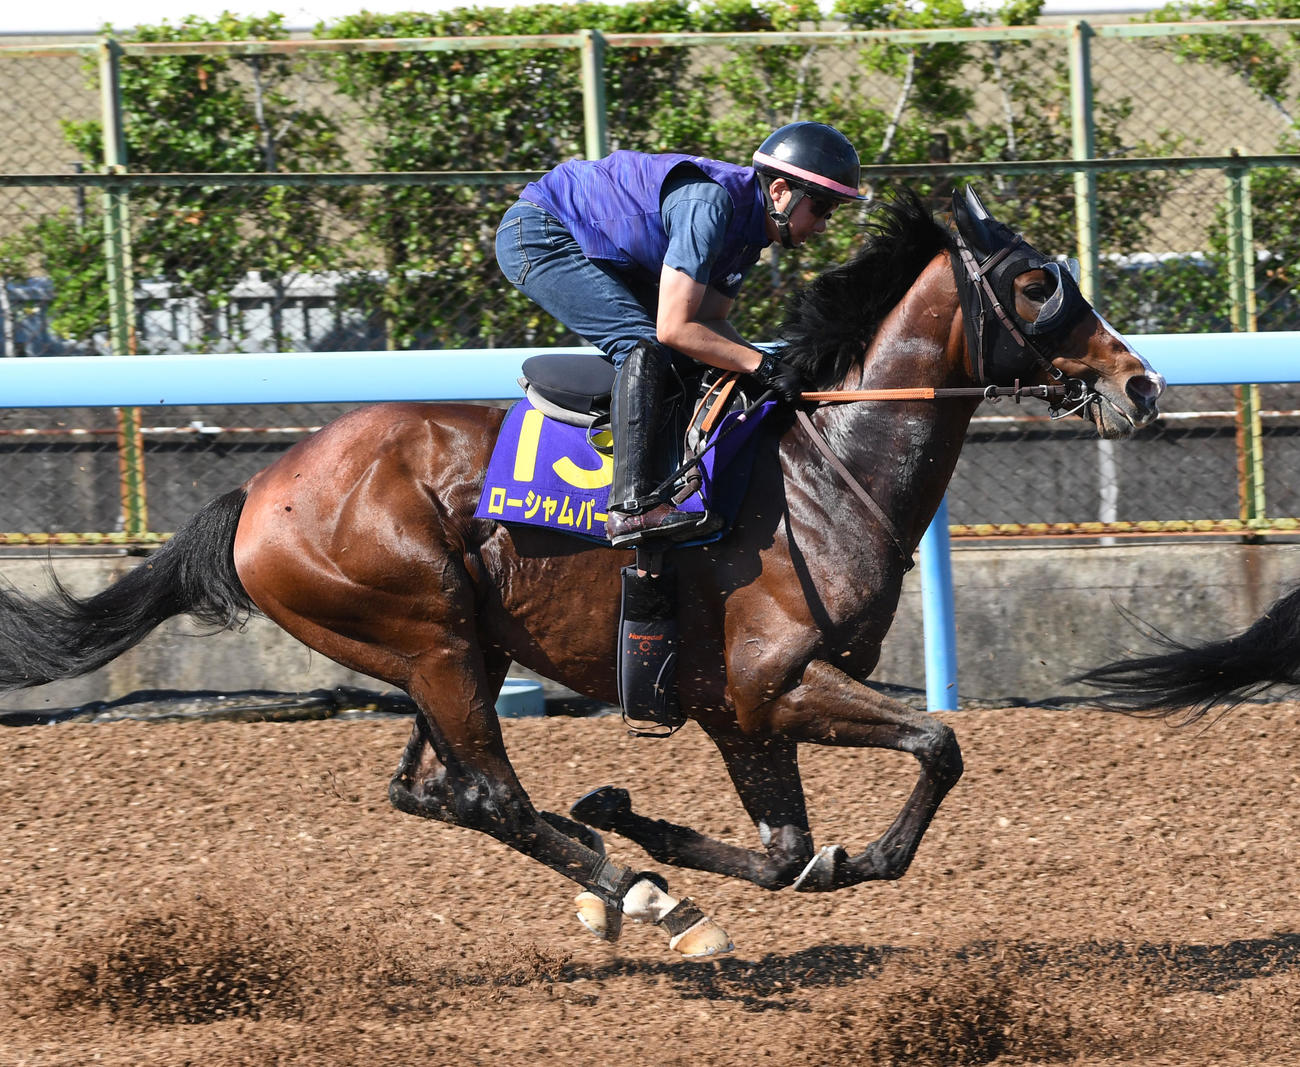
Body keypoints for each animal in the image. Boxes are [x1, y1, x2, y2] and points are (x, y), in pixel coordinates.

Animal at [0, 187, 1164, 958]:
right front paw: (681, 858)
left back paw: (623, 876)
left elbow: (788, 850)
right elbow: (936, 745)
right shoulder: (773, 683)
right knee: (488, 792)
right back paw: (642, 895)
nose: (1141, 385)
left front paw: (635, 816)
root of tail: (261, 489)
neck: (822, 471)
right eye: (1036, 284)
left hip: (445, 647)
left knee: (429, 789)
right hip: (429, 636)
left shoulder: (736, 707)